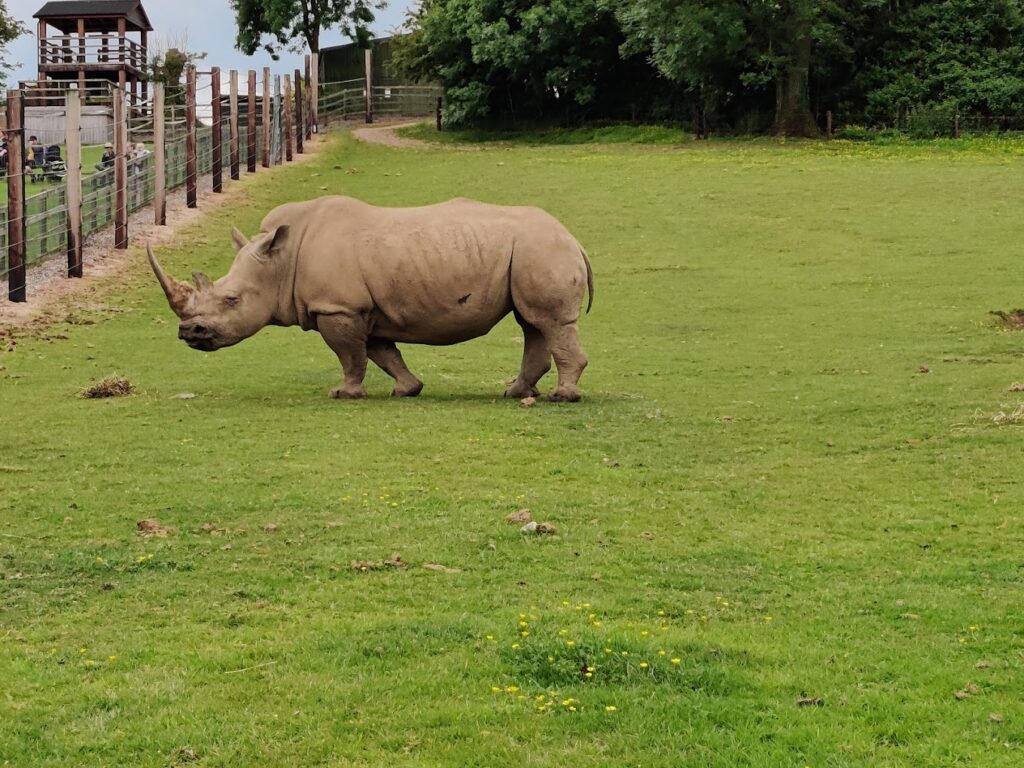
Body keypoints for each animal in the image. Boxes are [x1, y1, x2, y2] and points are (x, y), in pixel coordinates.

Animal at [148, 196, 593, 401]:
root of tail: (573, 238)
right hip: (531, 251)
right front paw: (407, 389)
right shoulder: (366, 310)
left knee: (549, 322)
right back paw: (515, 392)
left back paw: (561, 397)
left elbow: (350, 356)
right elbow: (383, 353)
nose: (188, 333)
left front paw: (343, 394)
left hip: (540, 248)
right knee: (532, 323)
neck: (281, 261)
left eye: (232, 300)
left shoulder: (338, 307)